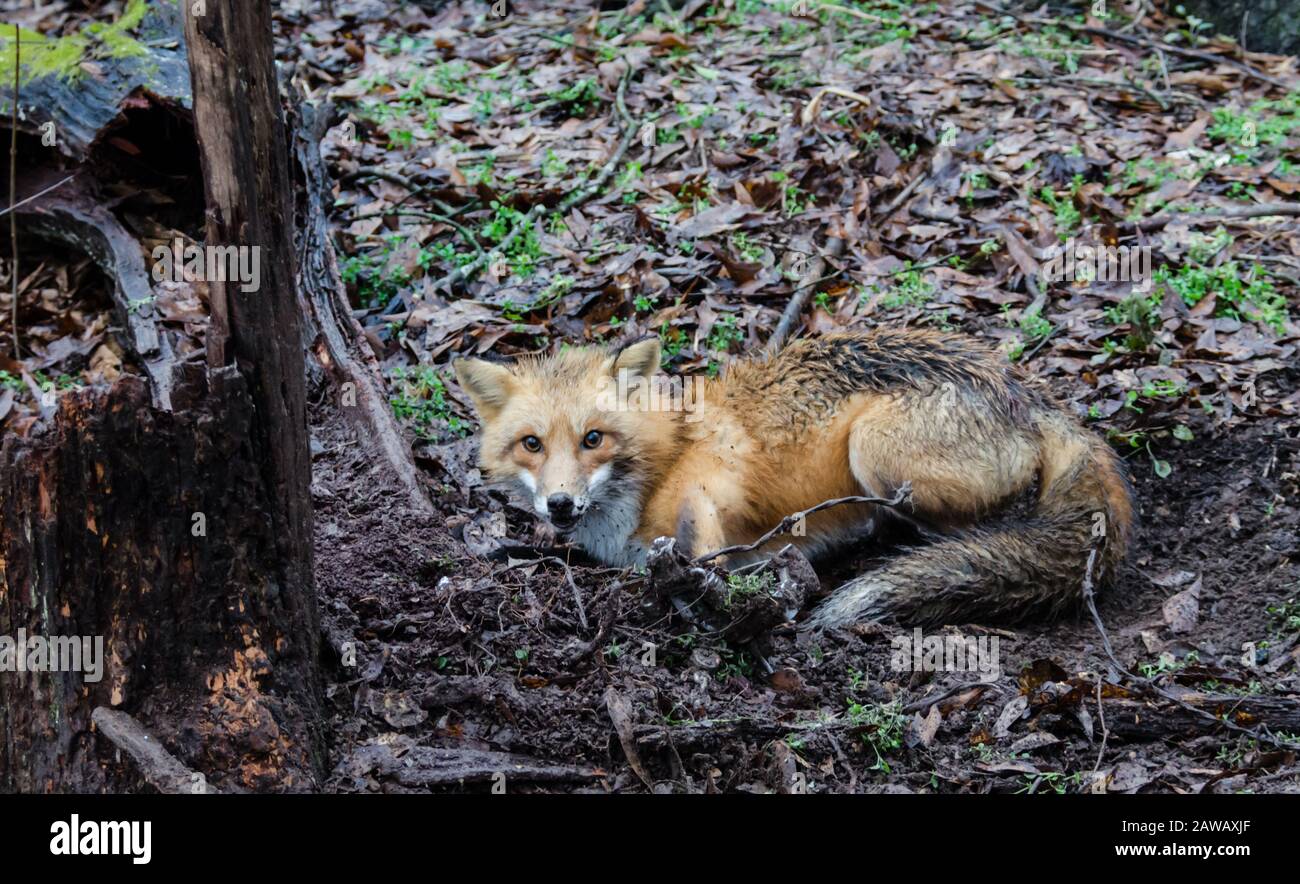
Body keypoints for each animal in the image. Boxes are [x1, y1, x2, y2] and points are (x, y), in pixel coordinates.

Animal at [452, 327, 1133, 624]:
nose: (561, 506)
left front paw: (712, 594)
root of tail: (1030, 390)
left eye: (594, 439)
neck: (663, 456)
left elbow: (706, 544)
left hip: (874, 450)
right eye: (532, 445)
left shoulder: (711, 486)